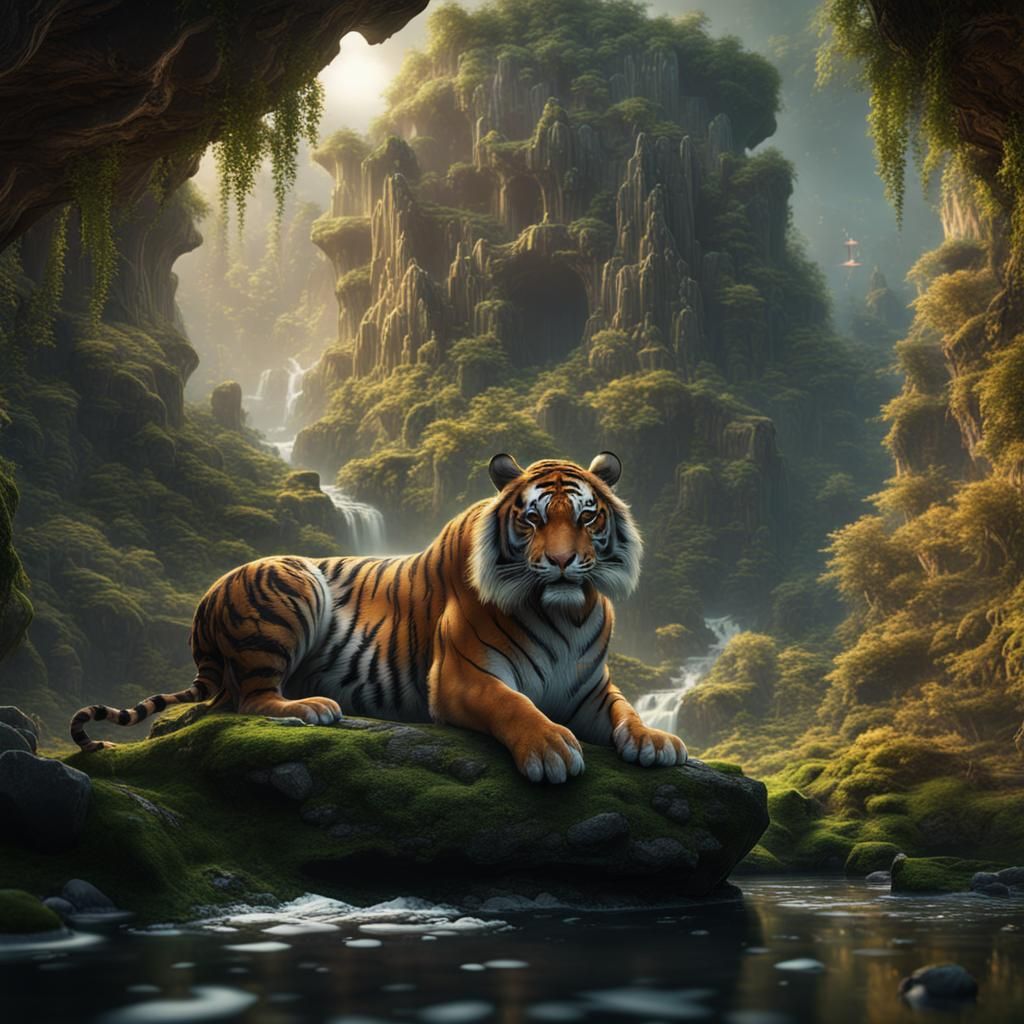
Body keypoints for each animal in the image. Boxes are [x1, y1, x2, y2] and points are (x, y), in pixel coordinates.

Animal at [71, 452, 687, 782]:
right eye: (533, 520)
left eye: (586, 516)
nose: (561, 563)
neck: (565, 614)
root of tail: (203, 602)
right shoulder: (461, 678)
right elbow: (512, 704)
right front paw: (551, 750)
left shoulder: (591, 691)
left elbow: (627, 711)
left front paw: (657, 740)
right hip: (291, 583)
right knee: (248, 700)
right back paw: (311, 708)